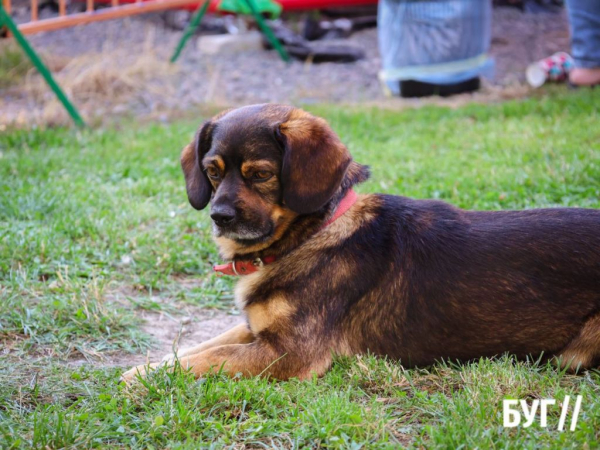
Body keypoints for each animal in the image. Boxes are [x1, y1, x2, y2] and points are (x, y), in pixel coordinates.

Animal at [120, 103, 600, 384]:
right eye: (212, 171)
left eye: (261, 174)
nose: (219, 217)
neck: (310, 234)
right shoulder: (256, 330)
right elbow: (196, 347)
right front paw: (146, 367)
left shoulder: (289, 353)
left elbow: (209, 357)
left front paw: (136, 382)